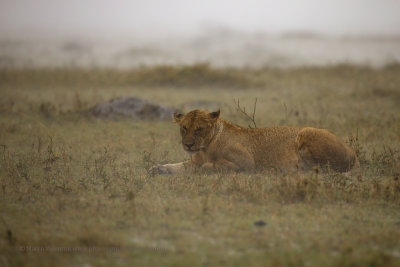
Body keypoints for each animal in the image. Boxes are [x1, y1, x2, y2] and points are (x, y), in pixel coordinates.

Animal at [153, 109, 360, 175]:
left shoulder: (246, 162)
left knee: (323, 168)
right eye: (184, 128)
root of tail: (353, 152)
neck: (205, 148)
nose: (188, 145)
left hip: (306, 132)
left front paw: (206, 167)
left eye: (199, 129)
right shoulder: (192, 160)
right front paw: (157, 168)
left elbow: (211, 166)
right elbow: (176, 165)